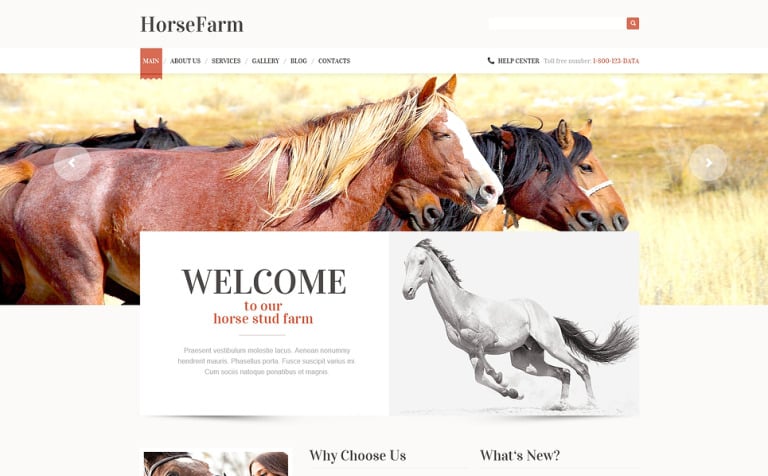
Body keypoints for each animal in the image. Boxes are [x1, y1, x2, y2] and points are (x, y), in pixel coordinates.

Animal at [401, 239, 637, 408]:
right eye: (405, 263)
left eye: (421, 262)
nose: (407, 292)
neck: (459, 308)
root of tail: (549, 316)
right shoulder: (469, 353)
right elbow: (479, 378)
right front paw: (514, 392)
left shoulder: (487, 340)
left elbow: (486, 363)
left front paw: (502, 380)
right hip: (527, 362)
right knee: (564, 372)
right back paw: (561, 404)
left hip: (553, 346)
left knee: (581, 367)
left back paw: (592, 403)